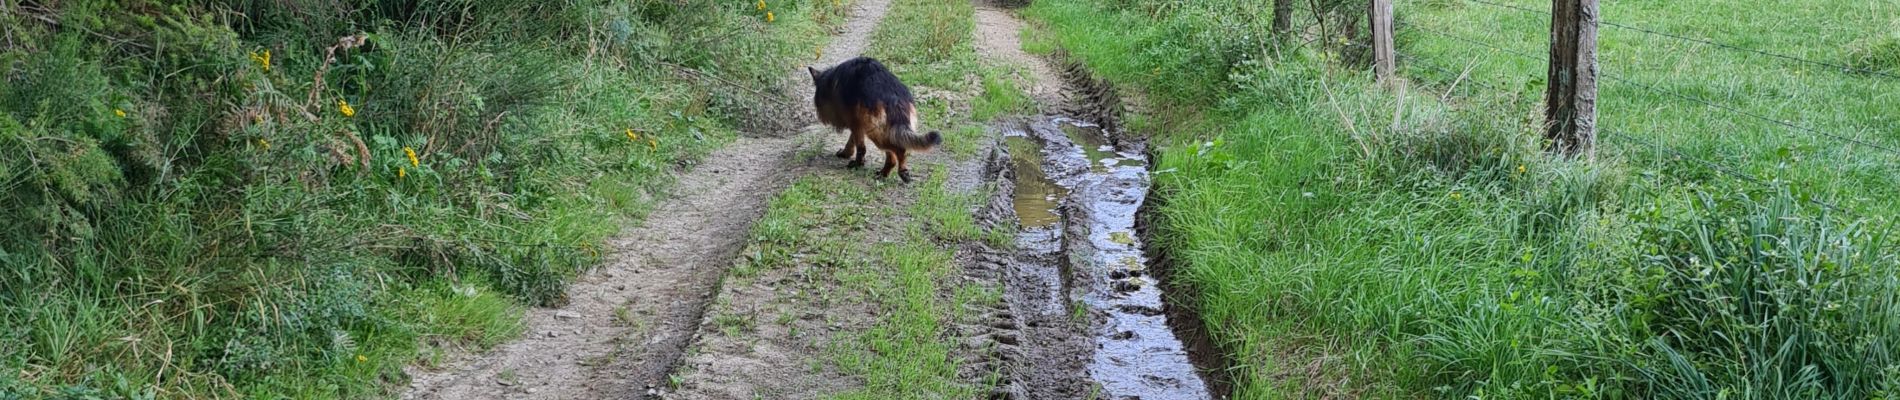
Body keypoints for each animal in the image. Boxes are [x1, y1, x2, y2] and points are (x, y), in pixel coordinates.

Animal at [809, 56, 942, 182]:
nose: (820, 116)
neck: (832, 82)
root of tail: (894, 99)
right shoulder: (857, 124)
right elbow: (853, 142)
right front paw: (846, 153)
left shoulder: (856, 124)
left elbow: (861, 148)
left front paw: (857, 164)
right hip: (886, 130)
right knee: (894, 153)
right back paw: (887, 173)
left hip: (876, 133)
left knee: (897, 151)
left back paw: (897, 171)